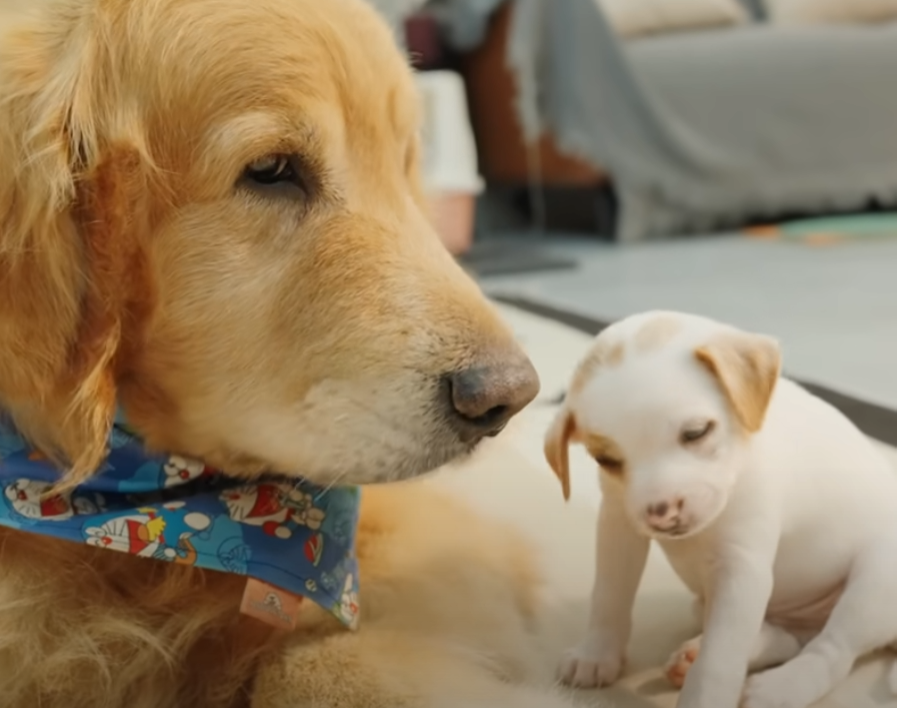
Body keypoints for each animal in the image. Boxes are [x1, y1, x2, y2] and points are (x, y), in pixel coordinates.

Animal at [544, 312, 896, 708]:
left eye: (696, 432)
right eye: (606, 459)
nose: (662, 513)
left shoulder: (740, 568)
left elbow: (720, 658)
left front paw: (703, 695)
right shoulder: (618, 527)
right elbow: (609, 595)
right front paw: (595, 654)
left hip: (876, 581)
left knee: (833, 649)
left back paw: (782, 686)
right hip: (711, 603)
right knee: (788, 638)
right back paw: (698, 655)